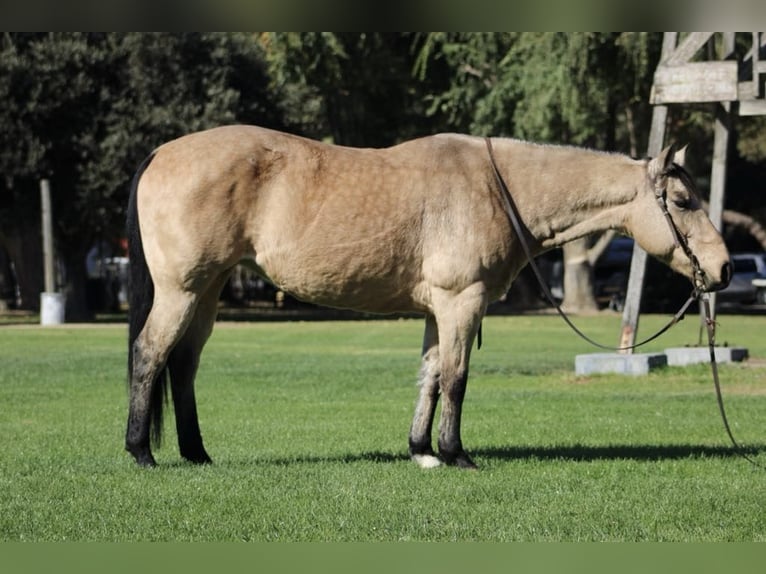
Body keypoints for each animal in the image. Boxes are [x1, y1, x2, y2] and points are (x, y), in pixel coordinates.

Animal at [125, 125, 731, 469]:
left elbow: (431, 376)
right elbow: (457, 379)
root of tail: (159, 153)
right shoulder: (462, 301)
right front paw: (455, 453)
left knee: (183, 365)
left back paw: (197, 453)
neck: (496, 186)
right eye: (682, 200)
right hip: (182, 290)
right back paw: (142, 453)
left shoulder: (439, 309)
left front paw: (421, 451)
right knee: (150, 355)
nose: (722, 269)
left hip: (206, 292)